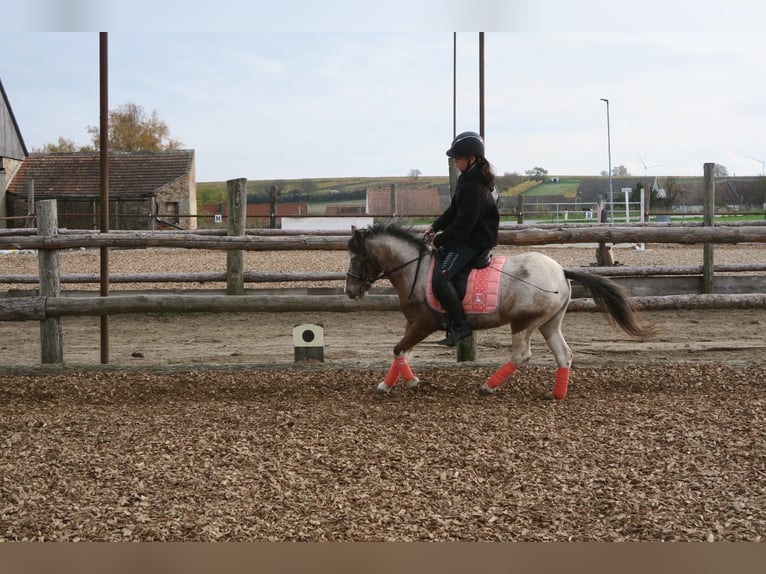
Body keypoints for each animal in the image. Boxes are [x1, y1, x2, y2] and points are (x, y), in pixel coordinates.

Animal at [344, 222, 656, 400]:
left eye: (357, 258)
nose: (350, 291)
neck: (415, 272)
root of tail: (560, 270)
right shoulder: (413, 324)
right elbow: (403, 352)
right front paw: (398, 383)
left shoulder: (423, 324)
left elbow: (399, 350)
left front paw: (400, 384)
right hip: (549, 323)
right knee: (564, 355)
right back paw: (556, 395)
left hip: (523, 322)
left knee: (522, 355)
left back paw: (488, 386)